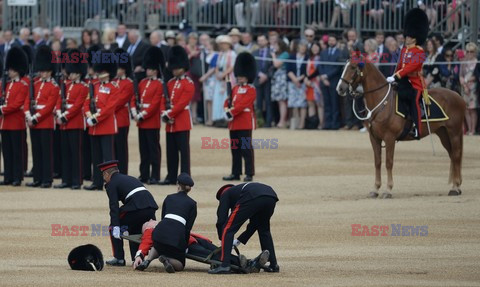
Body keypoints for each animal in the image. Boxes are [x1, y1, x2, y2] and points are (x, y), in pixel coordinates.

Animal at [338, 59, 464, 198]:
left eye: (352, 67)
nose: (340, 88)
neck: (382, 101)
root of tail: (458, 95)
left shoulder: (390, 138)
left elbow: (388, 162)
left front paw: (388, 190)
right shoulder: (374, 138)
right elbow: (377, 162)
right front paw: (375, 189)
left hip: (454, 132)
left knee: (456, 155)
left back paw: (455, 187)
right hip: (443, 133)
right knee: (452, 155)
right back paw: (456, 186)